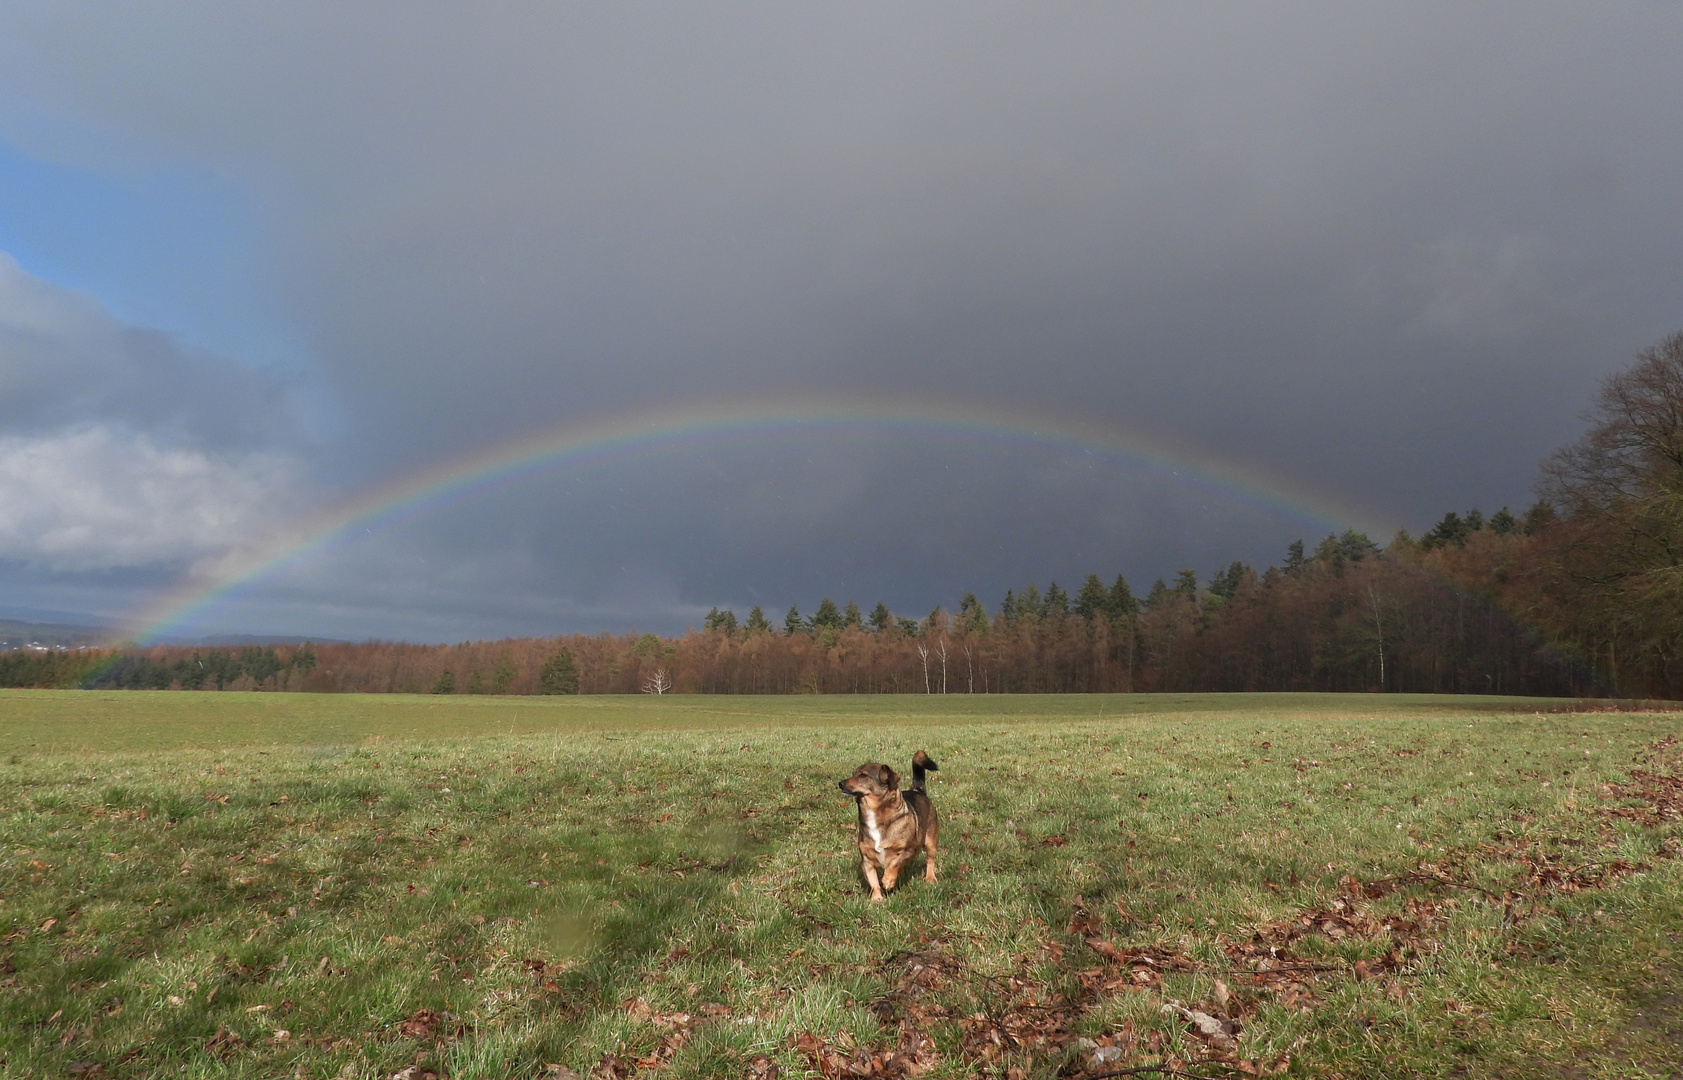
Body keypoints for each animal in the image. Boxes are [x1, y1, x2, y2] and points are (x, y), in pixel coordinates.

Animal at [838, 743, 935, 894]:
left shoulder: (908, 849)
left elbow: (894, 863)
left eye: (863, 775)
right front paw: (877, 897)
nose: (840, 783)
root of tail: (917, 790)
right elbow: (873, 882)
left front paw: (888, 880)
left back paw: (929, 877)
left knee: (930, 859)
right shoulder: (866, 860)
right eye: (853, 773)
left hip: (930, 841)